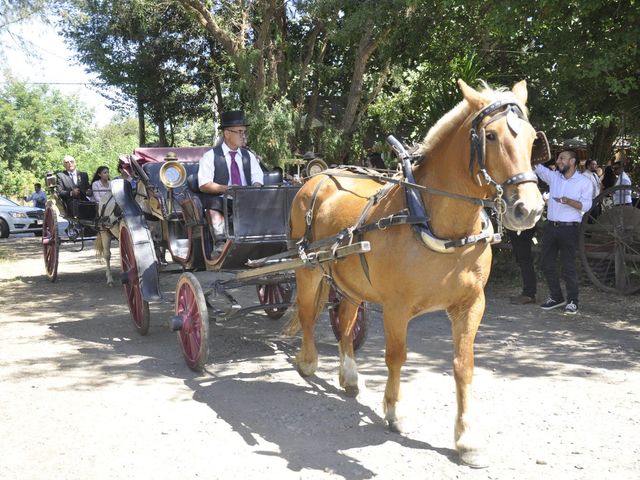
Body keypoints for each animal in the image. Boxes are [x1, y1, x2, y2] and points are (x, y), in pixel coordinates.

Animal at [290, 80, 544, 466]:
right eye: (491, 136)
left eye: (531, 138)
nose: (528, 209)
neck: (433, 220)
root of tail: (317, 175)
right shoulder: (396, 308)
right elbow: (396, 356)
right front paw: (396, 412)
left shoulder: (471, 305)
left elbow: (464, 365)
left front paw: (467, 439)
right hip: (308, 271)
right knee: (307, 314)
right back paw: (307, 362)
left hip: (349, 281)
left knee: (346, 323)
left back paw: (349, 376)